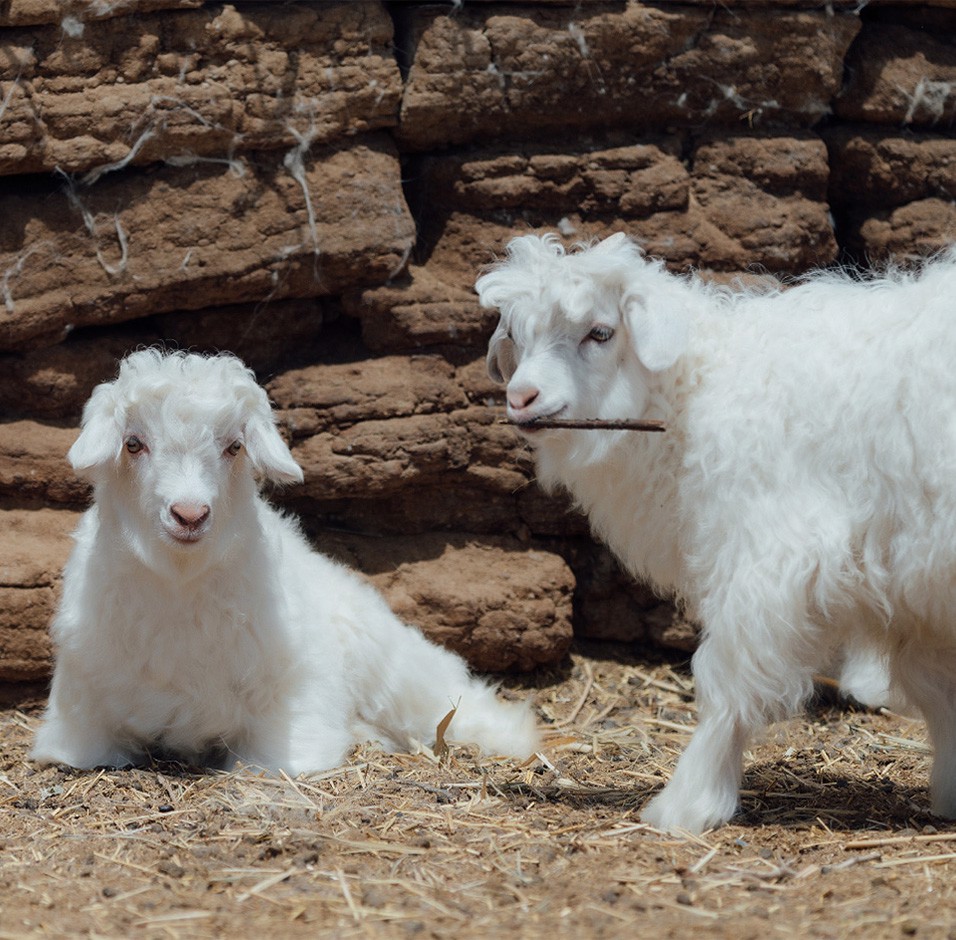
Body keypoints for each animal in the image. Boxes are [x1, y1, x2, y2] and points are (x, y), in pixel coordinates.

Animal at [33, 348, 540, 776]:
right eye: (134, 443)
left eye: (235, 446)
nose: (189, 515)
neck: (180, 582)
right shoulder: (83, 713)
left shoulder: (295, 699)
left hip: (394, 665)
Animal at [478, 233, 956, 828]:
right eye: (518, 336)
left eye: (600, 333)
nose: (522, 398)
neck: (698, 392)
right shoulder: (918, 592)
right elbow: (938, 689)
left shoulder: (770, 556)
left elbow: (730, 681)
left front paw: (687, 802)